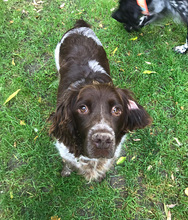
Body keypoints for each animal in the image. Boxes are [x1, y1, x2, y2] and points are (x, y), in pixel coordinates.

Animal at [49, 19, 152, 181]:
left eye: (117, 110)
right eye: (82, 108)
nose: (103, 140)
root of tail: (80, 27)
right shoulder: (65, 150)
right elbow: (68, 162)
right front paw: (66, 171)